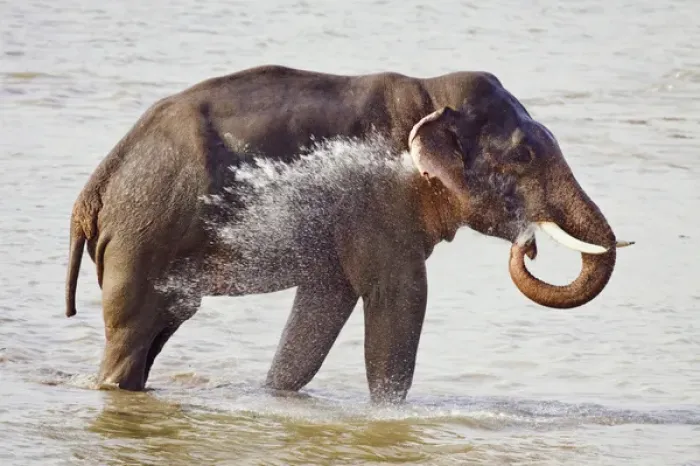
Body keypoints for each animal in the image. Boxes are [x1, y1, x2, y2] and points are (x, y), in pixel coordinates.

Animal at [65, 65, 632, 403]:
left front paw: (276, 396)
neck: (430, 92)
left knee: (163, 324)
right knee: (134, 329)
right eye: (524, 155)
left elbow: (323, 304)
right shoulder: (377, 199)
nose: (528, 245)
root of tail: (93, 191)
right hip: (144, 230)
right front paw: (387, 416)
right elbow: (401, 295)